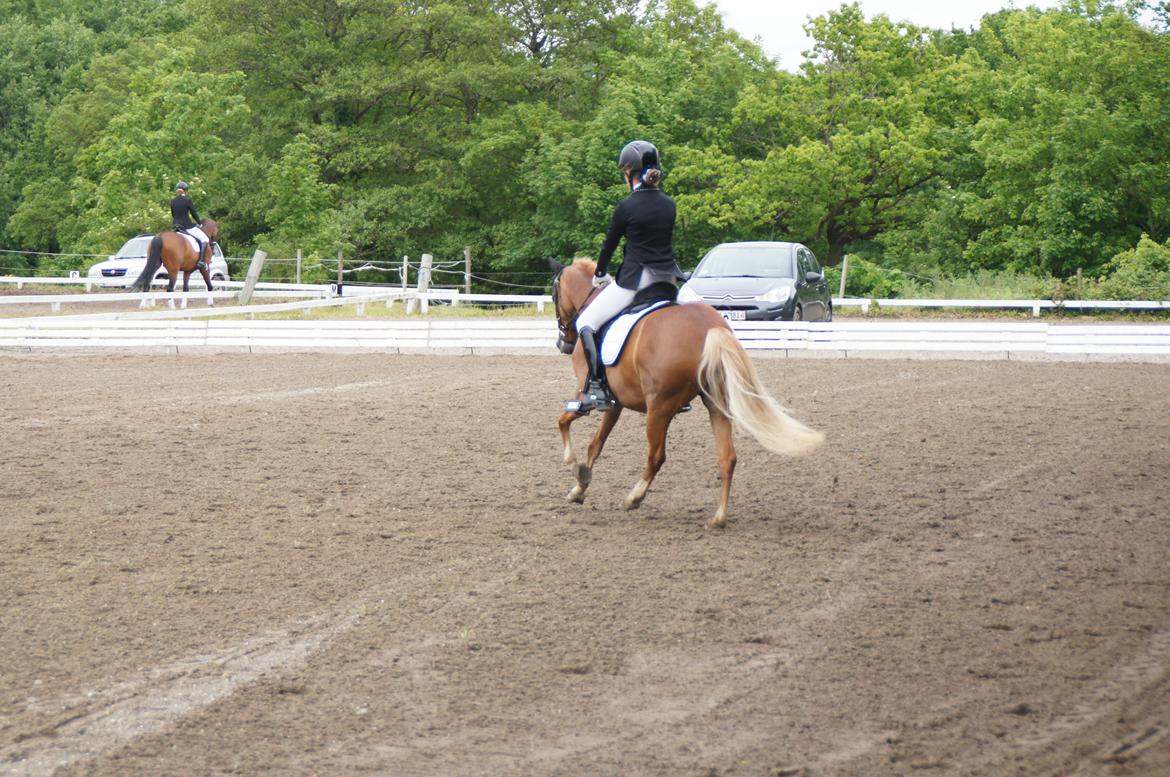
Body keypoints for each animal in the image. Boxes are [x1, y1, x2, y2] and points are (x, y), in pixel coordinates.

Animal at [549, 257, 819, 524]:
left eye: (554, 295)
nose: (563, 343)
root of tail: (710, 328)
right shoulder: (615, 404)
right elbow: (596, 444)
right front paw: (579, 487)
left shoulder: (585, 395)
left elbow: (563, 421)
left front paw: (573, 467)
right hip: (716, 404)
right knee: (727, 458)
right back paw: (719, 517)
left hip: (659, 409)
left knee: (656, 456)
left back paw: (634, 497)